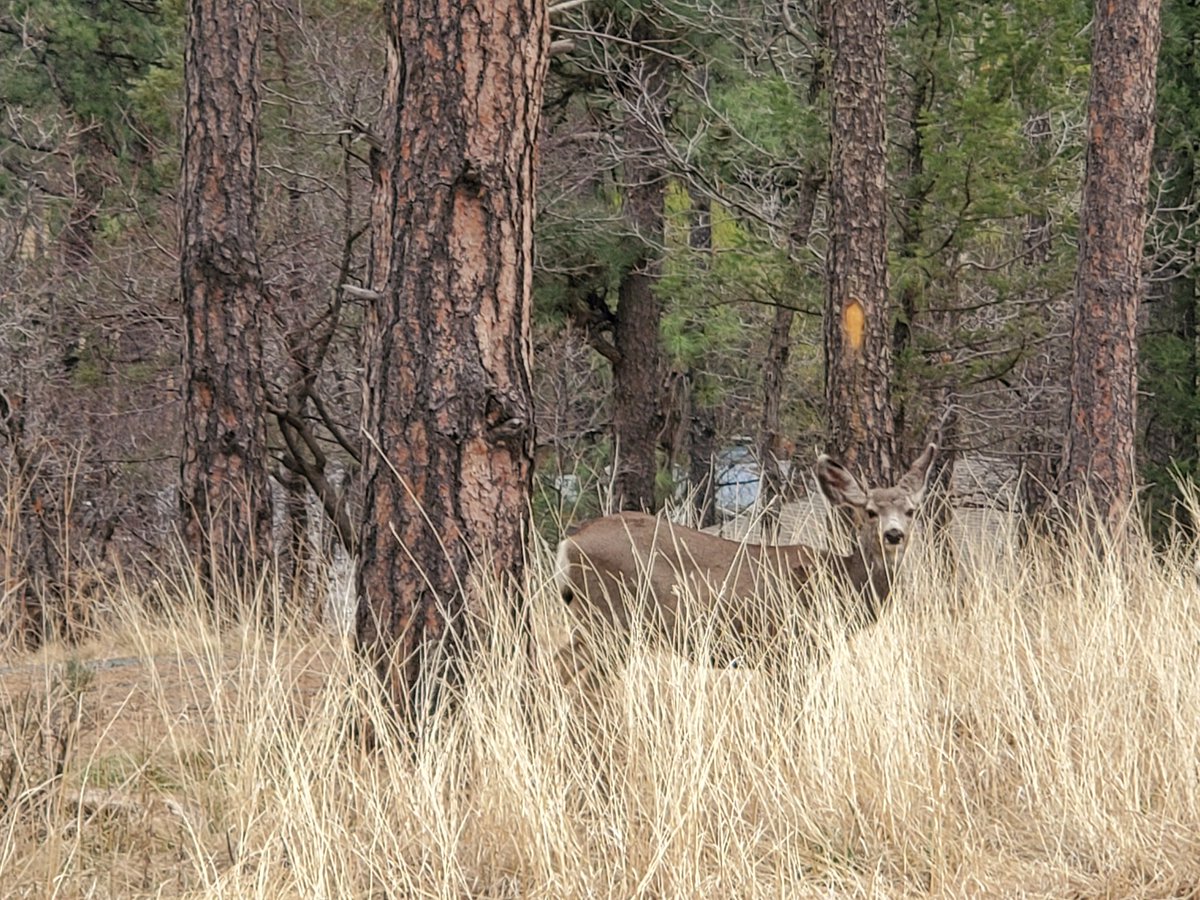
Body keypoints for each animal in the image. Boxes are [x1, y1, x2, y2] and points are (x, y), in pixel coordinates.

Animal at [552, 444, 936, 676]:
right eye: (870, 512)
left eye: (911, 511)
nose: (894, 534)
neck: (839, 580)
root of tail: (569, 544)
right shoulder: (786, 648)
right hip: (608, 618)